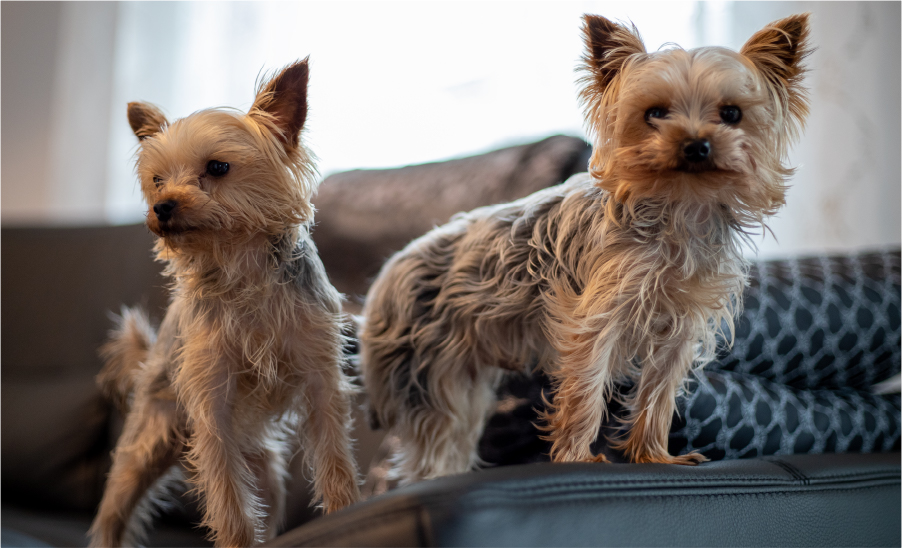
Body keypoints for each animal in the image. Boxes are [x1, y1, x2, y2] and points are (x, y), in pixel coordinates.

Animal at [89, 57, 360, 544]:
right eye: (157, 180)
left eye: (217, 167)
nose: (162, 206)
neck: (240, 266)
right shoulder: (212, 406)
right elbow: (231, 503)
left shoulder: (321, 384)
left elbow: (335, 464)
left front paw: (347, 516)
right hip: (141, 450)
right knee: (113, 514)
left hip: (266, 472)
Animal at [360, 15, 812, 482]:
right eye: (654, 113)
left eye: (731, 114)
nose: (695, 145)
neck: (679, 206)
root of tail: (383, 282)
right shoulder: (594, 319)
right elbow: (587, 390)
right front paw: (577, 456)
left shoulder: (681, 326)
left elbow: (659, 394)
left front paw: (654, 456)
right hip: (426, 373)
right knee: (428, 452)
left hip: (457, 377)